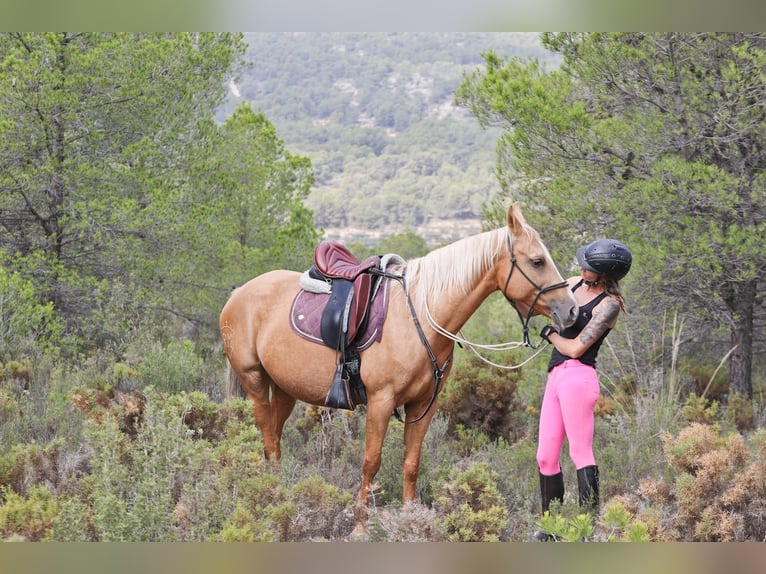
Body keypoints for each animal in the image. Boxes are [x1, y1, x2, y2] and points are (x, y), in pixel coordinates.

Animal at [220, 205, 576, 536]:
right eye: (537, 261)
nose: (571, 310)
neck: (419, 314)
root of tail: (238, 293)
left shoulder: (422, 406)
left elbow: (411, 463)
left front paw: (410, 520)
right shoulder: (381, 402)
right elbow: (371, 462)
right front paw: (360, 526)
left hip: (283, 389)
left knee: (275, 443)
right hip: (254, 381)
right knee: (268, 439)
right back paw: (273, 496)